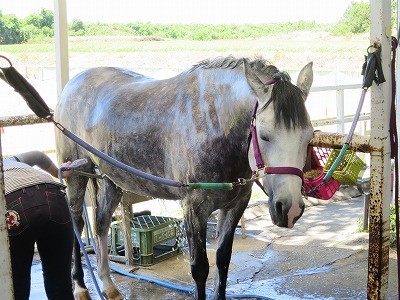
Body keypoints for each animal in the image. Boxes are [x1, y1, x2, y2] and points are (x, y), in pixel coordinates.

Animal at [54, 56, 314, 300]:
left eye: (308, 137)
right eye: (265, 135)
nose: (289, 208)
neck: (214, 122)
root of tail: (72, 84)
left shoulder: (235, 206)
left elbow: (223, 260)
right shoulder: (194, 208)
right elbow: (200, 269)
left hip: (112, 180)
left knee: (101, 224)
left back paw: (108, 286)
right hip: (75, 175)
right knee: (77, 225)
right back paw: (80, 287)